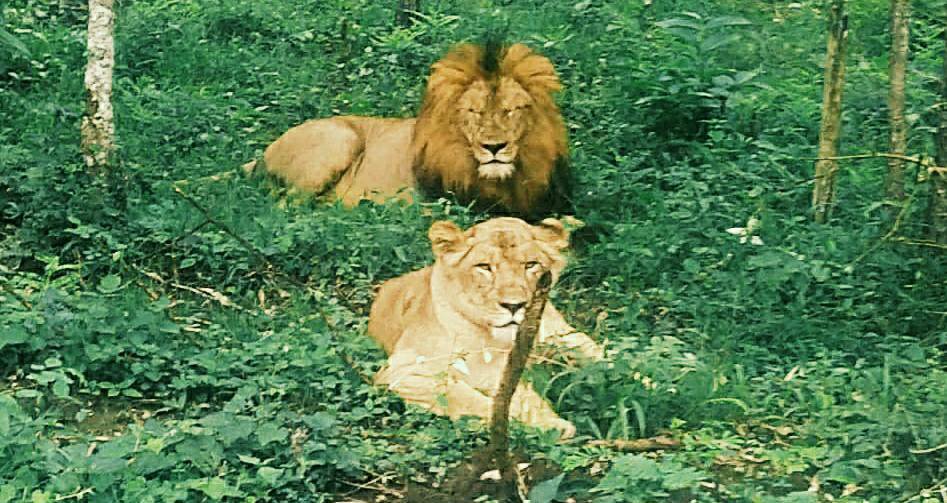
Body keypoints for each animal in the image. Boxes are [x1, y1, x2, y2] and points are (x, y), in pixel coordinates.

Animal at [261, 42, 570, 217]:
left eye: (510, 110)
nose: (494, 147)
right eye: (474, 112)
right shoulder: (463, 206)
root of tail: (264, 153)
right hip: (341, 139)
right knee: (283, 208)